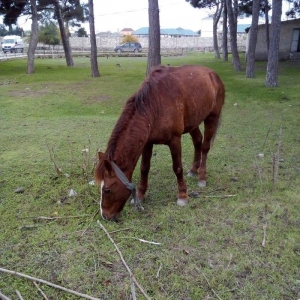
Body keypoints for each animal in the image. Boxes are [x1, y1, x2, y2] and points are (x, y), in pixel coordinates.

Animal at [95, 65, 224, 220]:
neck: (153, 106)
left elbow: (177, 168)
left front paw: (182, 196)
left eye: (107, 190)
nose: (105, 216)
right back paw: (194, 170)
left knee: (205, 147)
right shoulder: (147, 143)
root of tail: (212, 73)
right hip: (193, 122)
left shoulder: (175, 140)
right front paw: (140, 195)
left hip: (212, 118)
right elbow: (144, 168)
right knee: (197, 142)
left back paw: (201, 177)